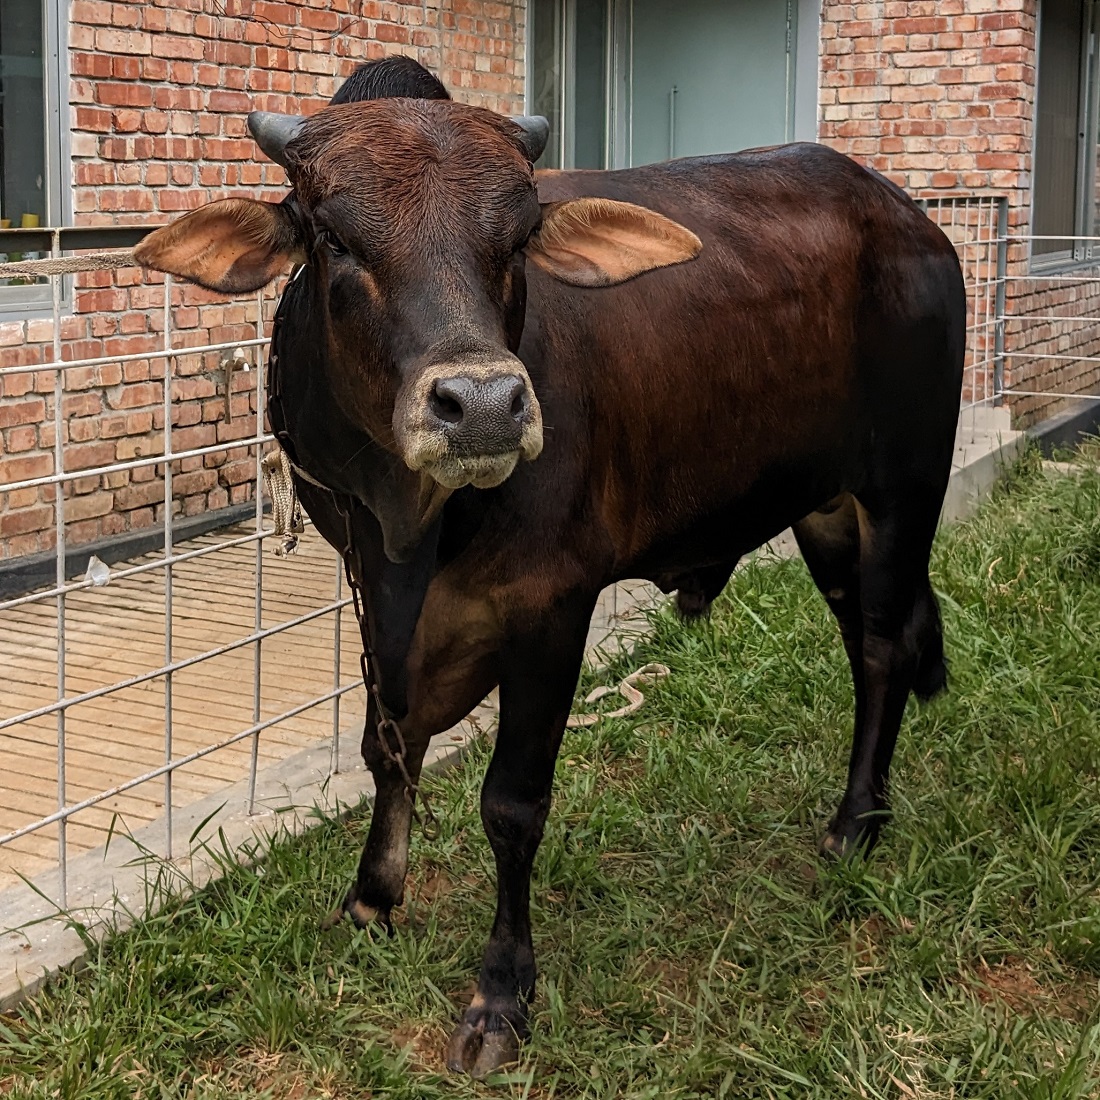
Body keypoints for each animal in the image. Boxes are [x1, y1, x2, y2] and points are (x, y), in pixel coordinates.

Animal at [135, 58, 963, 1073]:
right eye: (331, 235)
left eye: (521, 234)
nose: (484, 405)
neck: (413, 529)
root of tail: (908, 218)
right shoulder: (375, 602)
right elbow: (386, 749)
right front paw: (371, 898)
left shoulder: (551, 609)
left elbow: (512, 804)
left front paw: (501, 994)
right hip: (826, 513)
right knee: (868, 640)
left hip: (904, 492)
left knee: (885, 648)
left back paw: (855, 824)